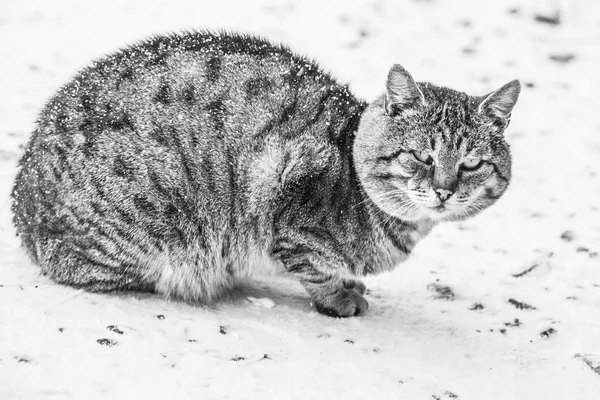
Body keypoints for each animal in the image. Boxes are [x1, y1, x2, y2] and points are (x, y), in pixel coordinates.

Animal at [12, 31, 520, 318]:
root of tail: (22, 203)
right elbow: (315, 268)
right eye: (421, 156)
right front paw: (341, 297)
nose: (444, 190)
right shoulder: (289, 208)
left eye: (472, 163)